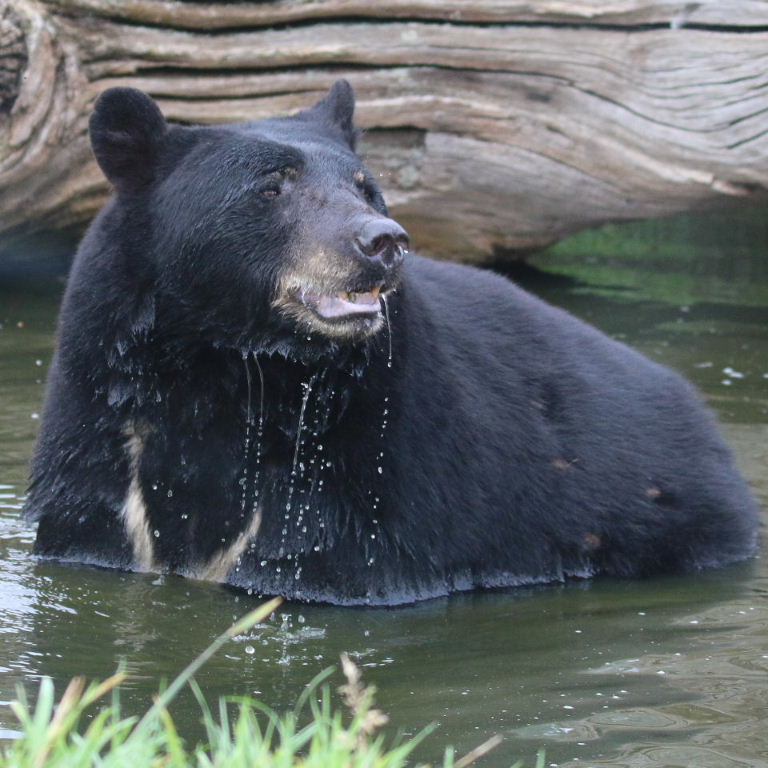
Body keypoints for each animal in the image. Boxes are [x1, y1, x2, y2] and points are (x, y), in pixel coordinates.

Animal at [25, 81, 759, 606]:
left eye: (365, 187)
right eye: (271, 186)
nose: (382, 241)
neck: (227, 364)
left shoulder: (372, 446)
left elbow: (334, 561)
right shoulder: (101, 412)